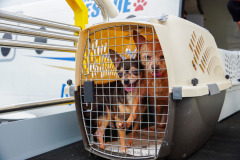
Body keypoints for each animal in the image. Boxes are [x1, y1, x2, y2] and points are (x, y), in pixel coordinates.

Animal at [74, 15, 231, 160]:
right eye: (147, 57)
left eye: (162, 57)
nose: (154, 66)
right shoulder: (139, 99)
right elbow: (131, 119)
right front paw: (127, 139)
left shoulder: (155, 104)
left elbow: (137, 123)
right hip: (108, 113)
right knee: (101, 131)